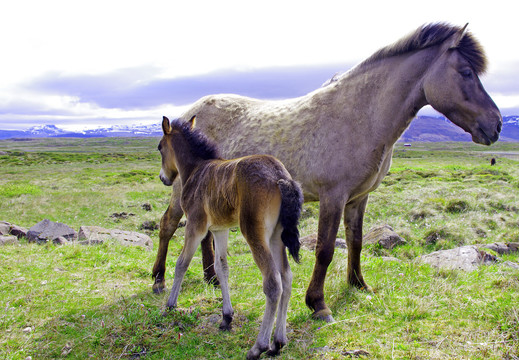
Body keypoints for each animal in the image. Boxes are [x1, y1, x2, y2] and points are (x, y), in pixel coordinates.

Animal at [152, 22, 502, 320]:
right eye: (466, 72)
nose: (496, 124)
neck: (361, 116)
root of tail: (190, 114)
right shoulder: (333, 197)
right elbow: (325, 249)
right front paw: (317, 303)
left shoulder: (357, 199)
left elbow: (356, 241)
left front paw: (359, 285)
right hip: (180, 191)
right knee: (168, 225)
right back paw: (158, 279)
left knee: (205, 235)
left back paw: (211, 278)